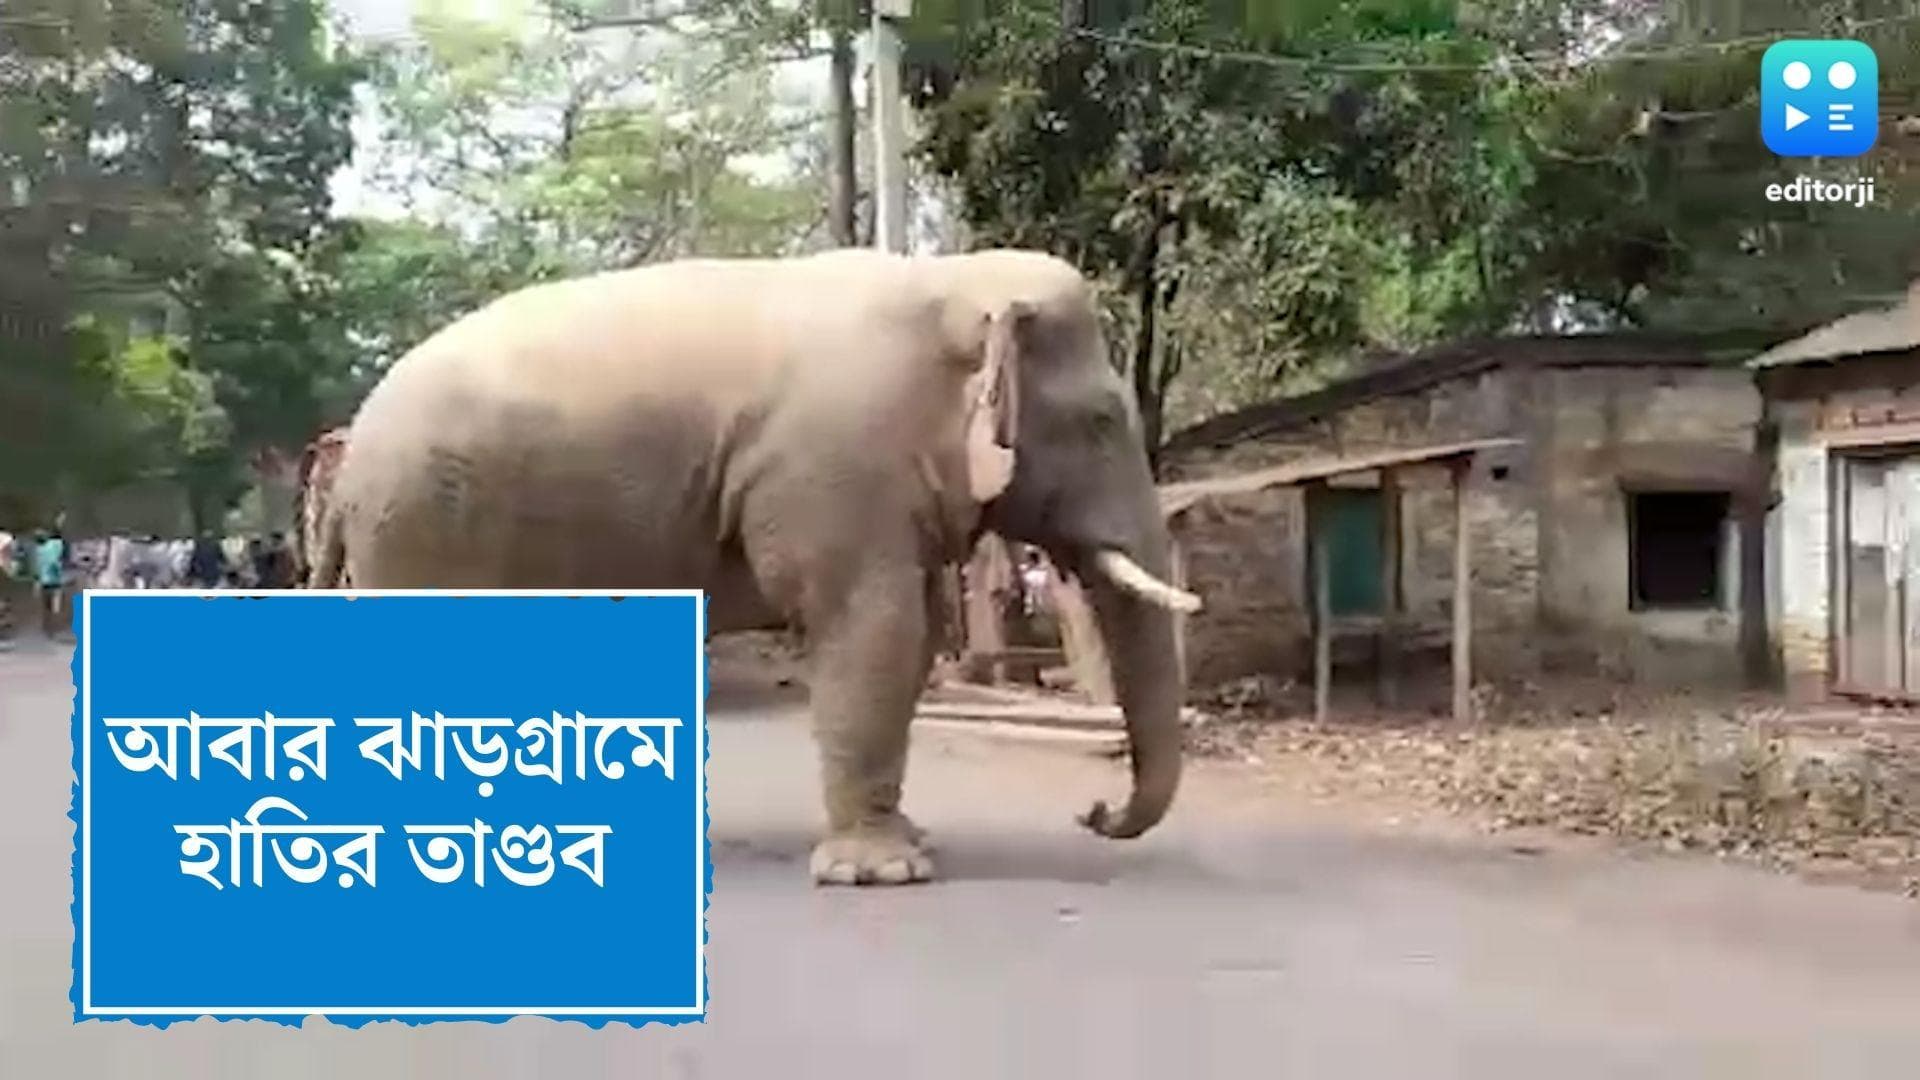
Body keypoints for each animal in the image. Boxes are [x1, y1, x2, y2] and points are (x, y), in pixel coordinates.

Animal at [311, 247, 1201, 886]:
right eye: (1100, 421)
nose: (1093, 812)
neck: (948, 278)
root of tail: (350, 452)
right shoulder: (839, 467)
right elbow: (871, 628)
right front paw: (884, 872)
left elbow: (912, 637)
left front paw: (910, 842)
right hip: (424, 527)